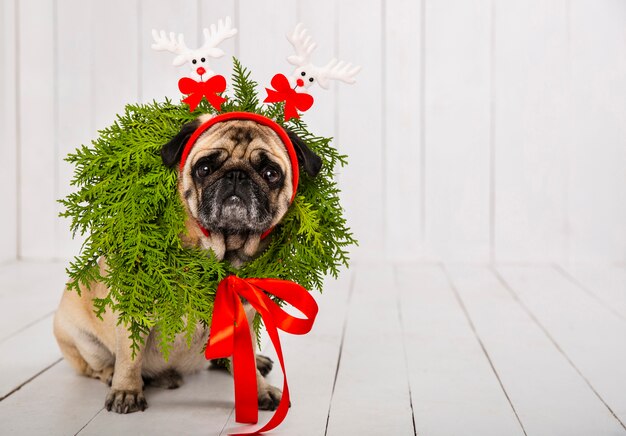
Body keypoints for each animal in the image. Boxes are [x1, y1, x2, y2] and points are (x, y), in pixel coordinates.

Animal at [53, 112, 322, 412]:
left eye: (271, 173)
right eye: (204, 168)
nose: (236, 175)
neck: (222, 250)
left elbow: (247, 362)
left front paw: (258, 390)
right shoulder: (134, 309)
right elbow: (129, 356)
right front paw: (126, 390)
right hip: (83, 340)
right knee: (97, 366)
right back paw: (117, 376)